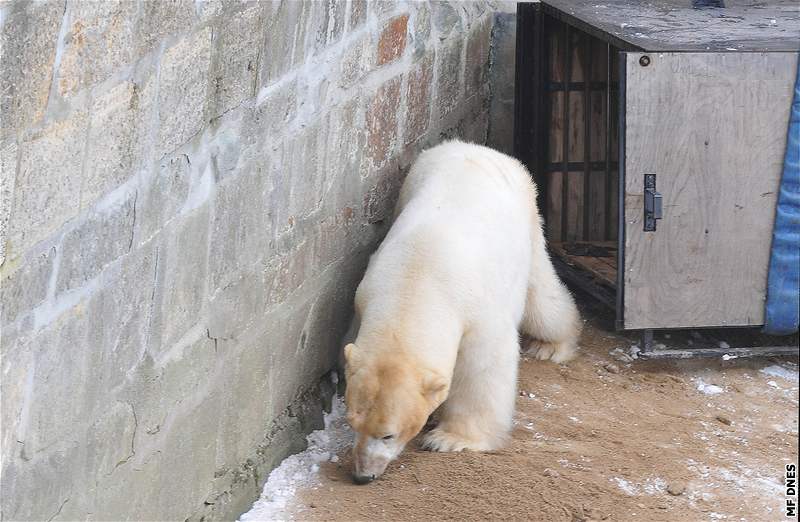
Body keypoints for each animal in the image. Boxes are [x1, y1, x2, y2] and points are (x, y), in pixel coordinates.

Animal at [344, 140, 580, 482]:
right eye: (353, 423)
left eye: (388, 434)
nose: (363, 475)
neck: (417, 280)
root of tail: (477, 148)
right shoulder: (366, 290)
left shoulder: (477, 308)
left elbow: (483, 367)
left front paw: (451, 439)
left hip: (528, 223)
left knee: (541, 297)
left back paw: (551, 346)